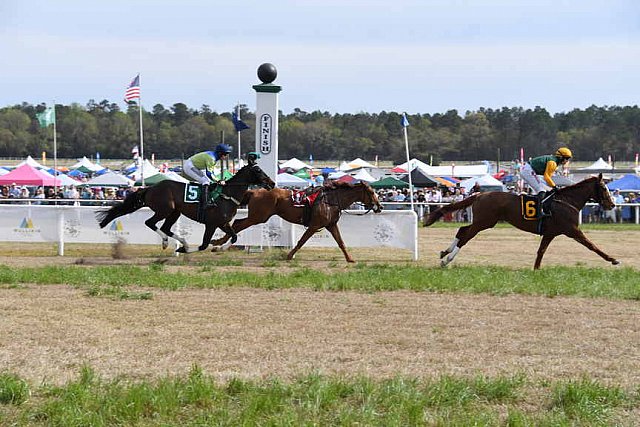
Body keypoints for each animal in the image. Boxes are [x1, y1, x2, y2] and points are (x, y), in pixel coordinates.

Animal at [96, 160, 274, 254]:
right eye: (258, 170)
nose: (272, 183)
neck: (227, 195)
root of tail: (150, 188)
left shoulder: (223, 223)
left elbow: (234, 236)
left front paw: (219, 248)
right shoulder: (211, 224)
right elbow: (203, 245)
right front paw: (184, 250)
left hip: (175, 212)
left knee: (166, 228)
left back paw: (183, 243)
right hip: (165, 209)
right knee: (151, 223)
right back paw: (167, 242)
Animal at [210, 181, 382, 262]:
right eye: (371, 192)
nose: (379, 206)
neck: (331, 200)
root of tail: (254, 191)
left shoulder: (331, 225)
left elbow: (341, 242)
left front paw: (350, 258)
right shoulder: (314, 225)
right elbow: (301, 241)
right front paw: (289, 255)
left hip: (258, 216)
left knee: (237, 223)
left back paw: (219, 244)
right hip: (258, 217)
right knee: (238, 224)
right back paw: (218, 243)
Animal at [424, 175, 620, 270]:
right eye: (604, 188)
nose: (612, 204)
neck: (567, 201)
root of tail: (480, 194)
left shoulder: (550, 233)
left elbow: (541, 251)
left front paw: (536, 269)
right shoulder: (572, 230)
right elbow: (592, 245)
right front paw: (613, 259)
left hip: (485, 222)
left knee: (462, 229)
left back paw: (444, 252)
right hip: (484, 222)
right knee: (466, 236)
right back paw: (447, 259)